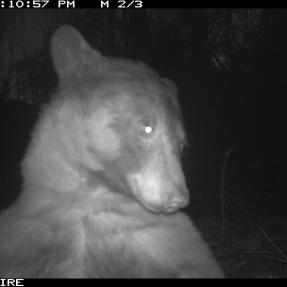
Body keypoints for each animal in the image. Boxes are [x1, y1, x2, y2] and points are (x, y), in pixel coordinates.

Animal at [0, 25, 225, 280]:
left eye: (182, 145)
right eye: (147, 126)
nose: (178, 197)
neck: (94, 196)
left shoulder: (166, 240)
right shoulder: (25, 234)